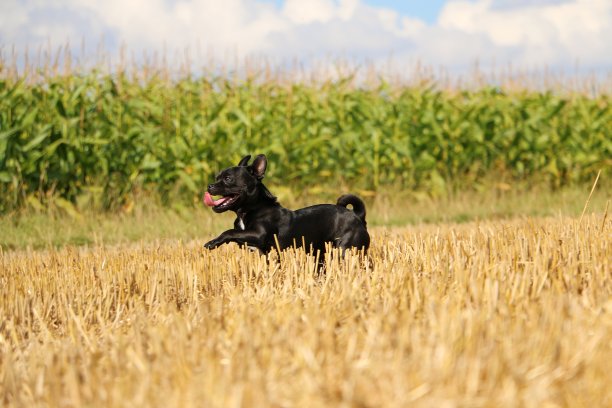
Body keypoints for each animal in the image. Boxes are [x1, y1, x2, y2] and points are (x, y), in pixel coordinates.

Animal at [203, 155, 370, 260]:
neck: (251, 208)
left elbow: (229, 231)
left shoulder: (259, 234)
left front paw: (213, 242)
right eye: (217, 177)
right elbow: (236, 234)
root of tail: (357, 216)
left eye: (228, 178)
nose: (209, 186)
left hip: (346, 249)